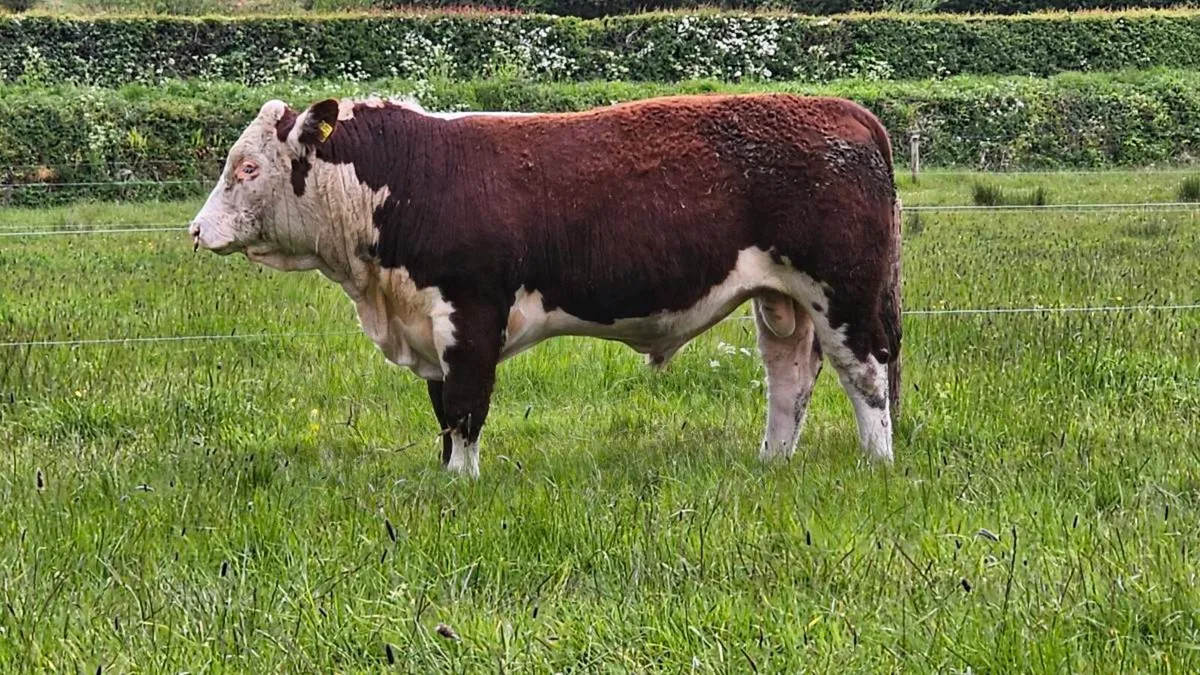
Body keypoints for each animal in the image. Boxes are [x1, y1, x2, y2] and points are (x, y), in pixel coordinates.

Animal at [188, 94, 903, 478]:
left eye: (247, 168)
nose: (197, 230)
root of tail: (840, 109)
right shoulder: (427, 323)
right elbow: (442, 410)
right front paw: (445, 474)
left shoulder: (471, 312)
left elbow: (465, 406)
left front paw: (462, 482)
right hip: (784, 300)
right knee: (790, 378)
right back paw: (772, 462)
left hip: (844, 292)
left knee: (865, 374)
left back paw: (878, 463)